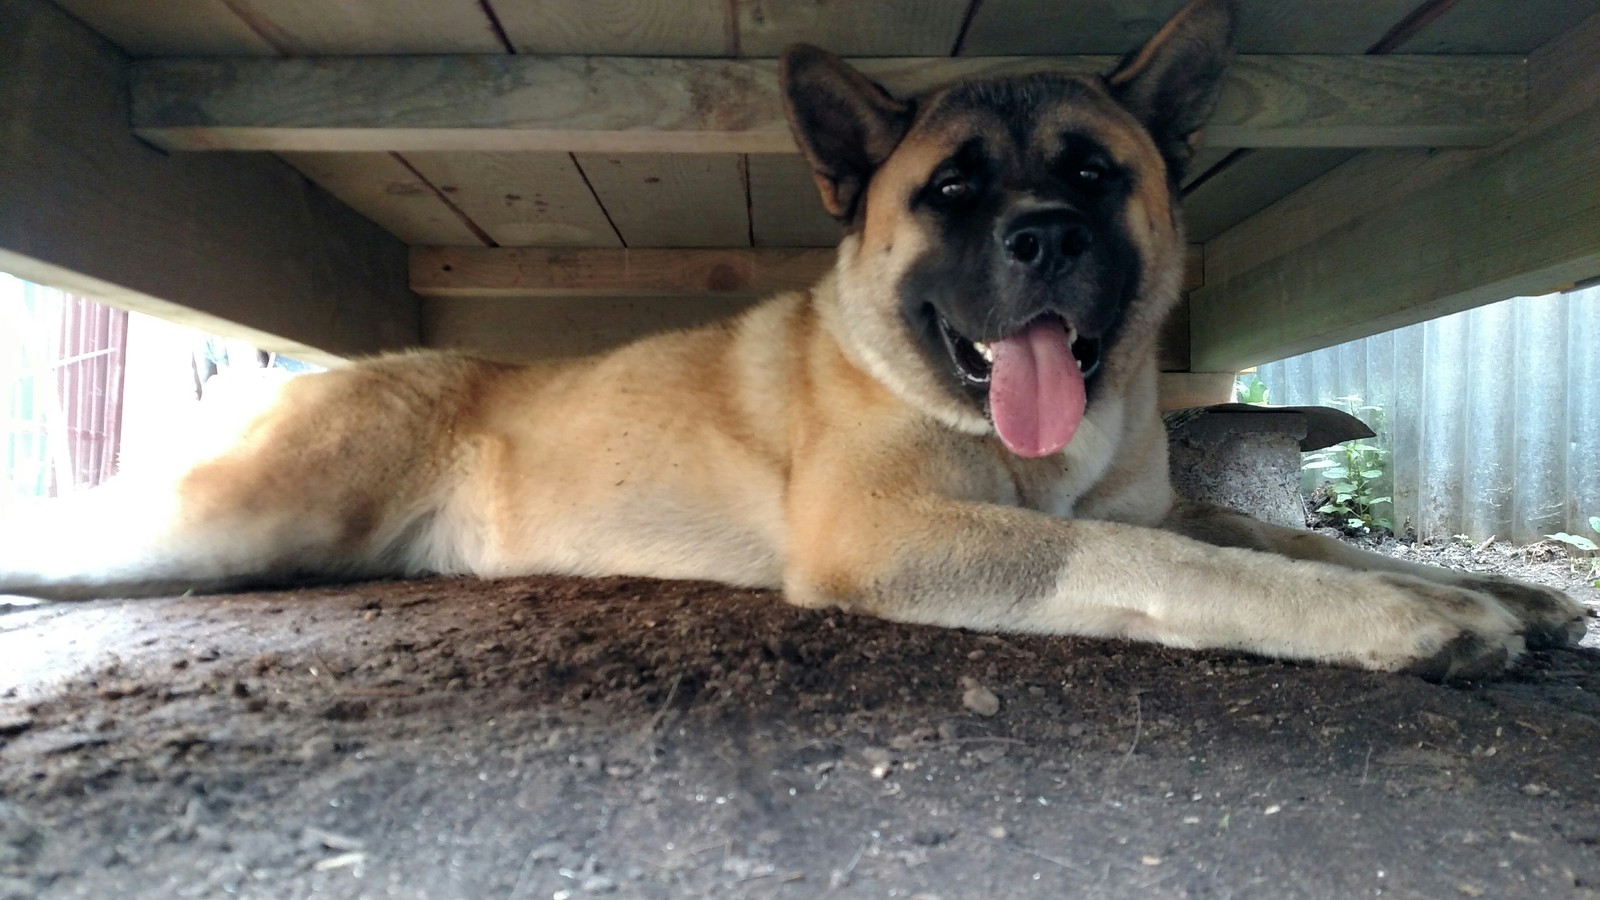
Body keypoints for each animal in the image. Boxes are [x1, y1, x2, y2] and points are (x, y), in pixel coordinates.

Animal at [0, 0, 1580, 672]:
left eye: (1092, 175)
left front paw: (1496, 590)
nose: (1042, 239)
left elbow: (1258, 533)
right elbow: (1185, 564)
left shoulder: (1155, 498)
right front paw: (1420, 620)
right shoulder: (901, 536)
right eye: (951, 193)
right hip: (236, 516)